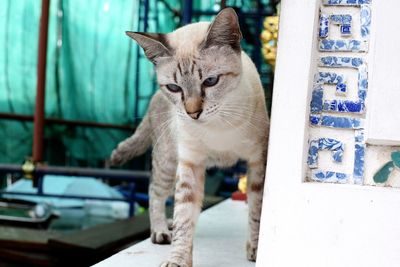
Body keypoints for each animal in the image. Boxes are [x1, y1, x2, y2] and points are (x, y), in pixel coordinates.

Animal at [110, 8, 268, 267]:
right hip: (168, 161)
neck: (218, 127)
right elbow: (184, 216)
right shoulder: (191, 162)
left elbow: (257, 209)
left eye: (211, 81)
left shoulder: (257, 161)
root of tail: (152, 98)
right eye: (174, 88)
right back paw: (161, 231)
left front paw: (256, 249)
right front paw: (178, 260)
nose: (193, 113)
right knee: (155, 192)